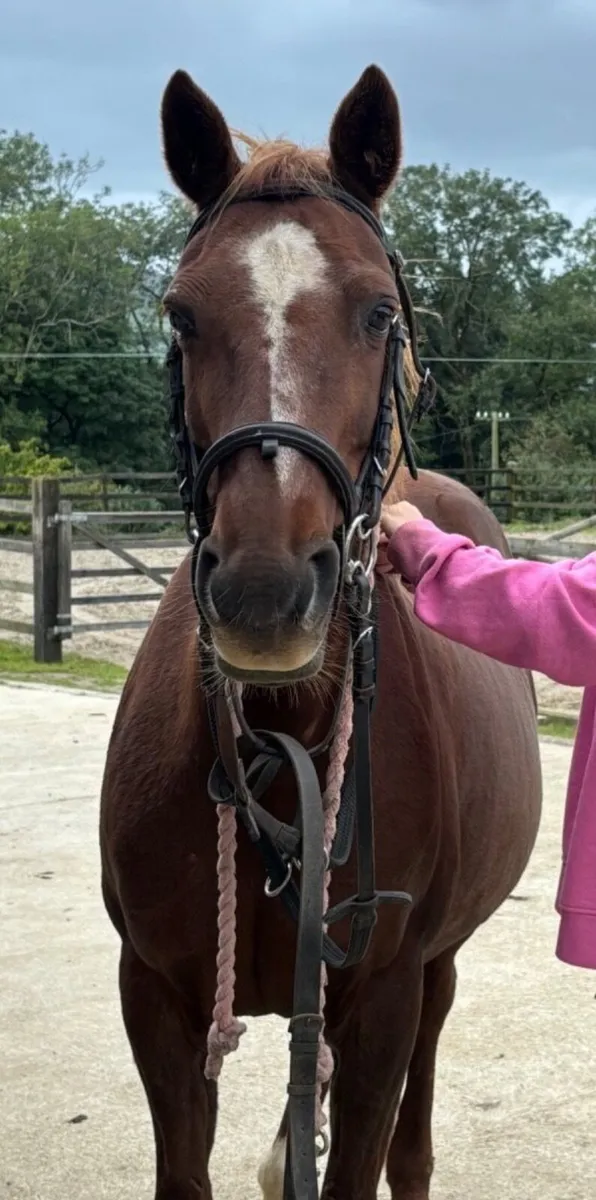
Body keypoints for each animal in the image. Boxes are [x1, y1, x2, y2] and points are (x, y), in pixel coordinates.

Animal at [99, 64, 542, 1200]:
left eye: (377, 310)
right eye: (179, 315)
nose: (264, 594)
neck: (277, 744)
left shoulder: (381, 999)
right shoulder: (156, 1002)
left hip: (433, 976)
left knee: (411, 1148)